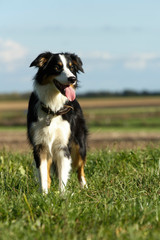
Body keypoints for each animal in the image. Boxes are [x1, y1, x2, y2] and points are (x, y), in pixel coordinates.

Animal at [27, 51, 87, 194]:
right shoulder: (40, 146)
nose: (72, 79)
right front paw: (44, 195)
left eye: (71, 67)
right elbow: (43, 175)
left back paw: (84, 187)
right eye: (57, 67)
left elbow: (62, 175)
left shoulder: (62, 145)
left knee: (80, 168)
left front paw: (62, 195)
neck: (53, 108)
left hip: (80, 145)